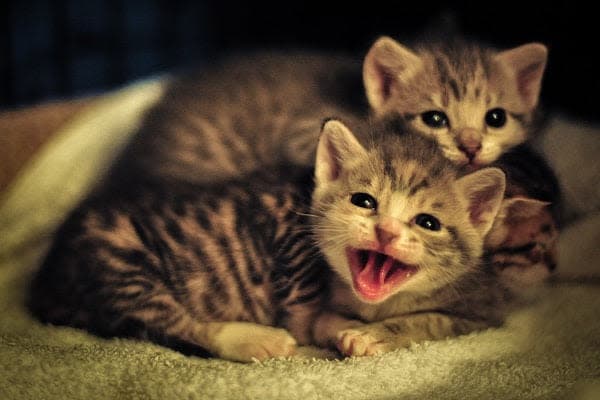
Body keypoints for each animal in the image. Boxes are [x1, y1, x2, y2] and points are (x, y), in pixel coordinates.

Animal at [27, 118, 506, 360]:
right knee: (168, 320)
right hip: (118, 257)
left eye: (427, 222)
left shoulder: (483, 312)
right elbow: (304, 313)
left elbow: (431, 320)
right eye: (364, 201)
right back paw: (255, 340)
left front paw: (368, 334)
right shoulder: (287, 227)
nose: (386, 230)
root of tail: (47, 277)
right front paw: (332, 327)